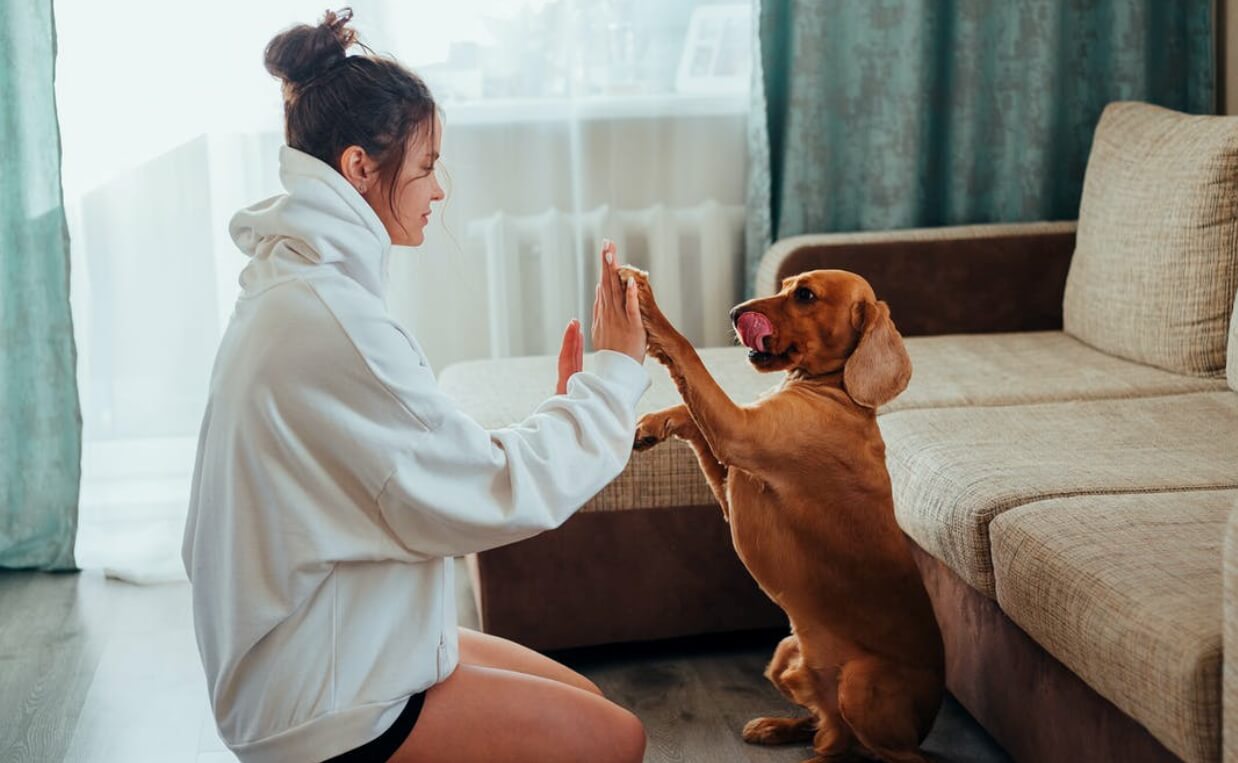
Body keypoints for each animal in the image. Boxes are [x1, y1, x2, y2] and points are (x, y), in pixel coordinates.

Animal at [623, 266, 940, 763]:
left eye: (805, 295)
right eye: (786, 284)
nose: (735, 312)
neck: (837, 391)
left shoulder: (737, 432)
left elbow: (686, 353)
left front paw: (648, 306)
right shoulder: (731, 472)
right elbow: (691, 414)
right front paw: (653, 424)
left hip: (861, 684)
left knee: (875, 751)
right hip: (785, 653)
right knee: (828, 729)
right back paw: (778, 728)